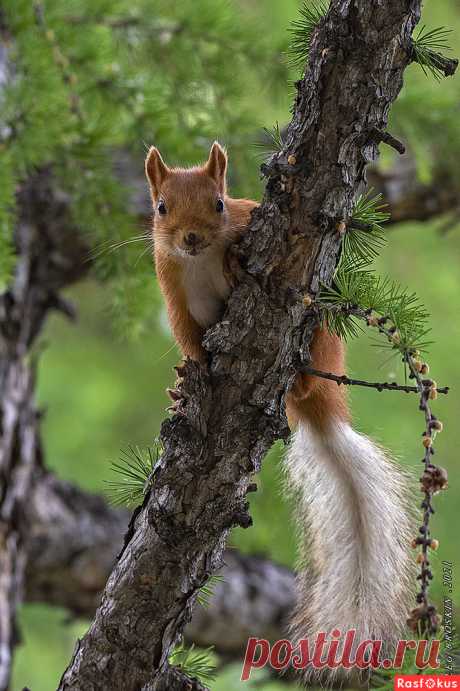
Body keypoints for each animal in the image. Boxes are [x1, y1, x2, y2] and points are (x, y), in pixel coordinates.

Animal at [146, 142, 416, 676]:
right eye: (162, 207)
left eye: (220, 204)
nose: (191, 238)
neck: (198, 263)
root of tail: (316, 406)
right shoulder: (176, 300)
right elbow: (193, 349)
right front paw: (184, 386)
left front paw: (234, 262)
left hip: (320, 334)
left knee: (310, 371)